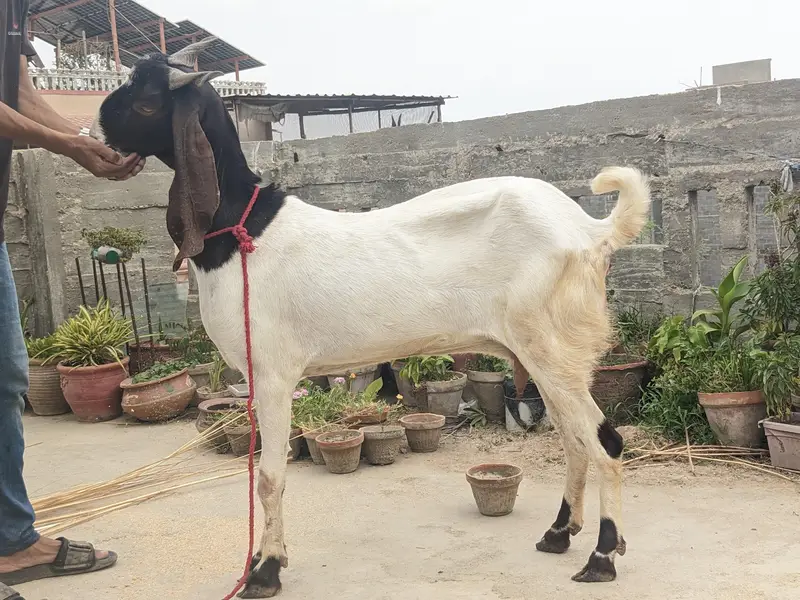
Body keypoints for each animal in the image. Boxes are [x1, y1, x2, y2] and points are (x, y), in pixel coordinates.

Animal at [90, 39, 650, 598]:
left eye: (147, 101)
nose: (97, 129)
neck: (243, 228)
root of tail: (591, 230)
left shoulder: (272, 374)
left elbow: (269, 477)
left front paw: (265, 569)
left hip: (553, 347)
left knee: (605, 441)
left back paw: (602, 556)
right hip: (539, 352)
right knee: (574, 440)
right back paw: (559, 532)